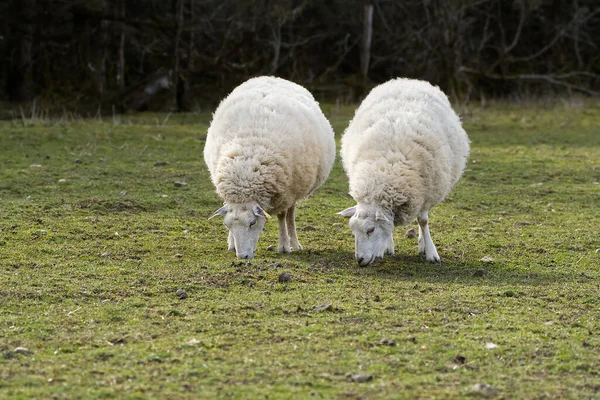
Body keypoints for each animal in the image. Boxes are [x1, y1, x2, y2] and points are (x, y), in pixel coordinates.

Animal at [205, 75, 338, 260]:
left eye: (252, 222)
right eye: (227, 225)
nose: (242, 257)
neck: (246, 172)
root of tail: (272, 77)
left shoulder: (285, 192)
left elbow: (282, 217)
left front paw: (284, 246)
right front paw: (231, 243)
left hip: (295, 188)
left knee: (290, 215)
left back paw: (294, 242)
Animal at [338, 77, 468, 266]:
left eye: (370, 230)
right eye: (353, 230)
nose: (360, 260)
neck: (385, 173)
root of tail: (409, 80)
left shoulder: (425, 191)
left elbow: (423, 221)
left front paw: (431, 252)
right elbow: (389, 225)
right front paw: (385, 247)